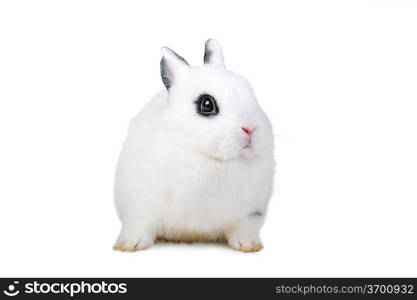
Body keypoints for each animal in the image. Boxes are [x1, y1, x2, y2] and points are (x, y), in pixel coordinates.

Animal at [114, 38, 274, 252]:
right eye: (206, 104)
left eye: (253, 96)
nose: (250, 128)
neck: (208, 157)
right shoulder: (139, 205)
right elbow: (139, 225)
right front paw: (130, 245)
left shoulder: (250, 213)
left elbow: (243, 228)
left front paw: (248, 245)